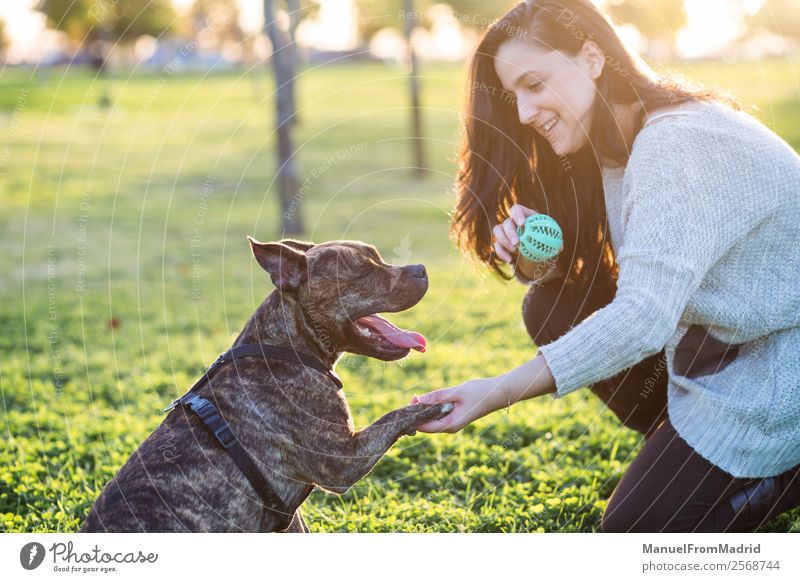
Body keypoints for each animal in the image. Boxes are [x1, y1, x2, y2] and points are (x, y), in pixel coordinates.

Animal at [83, 237, 456, 532]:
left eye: (378, 259)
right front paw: (434, 406)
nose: (421, 268)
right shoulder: (342, 460)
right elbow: (393, 416)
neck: (282, 347)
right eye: (364, 273)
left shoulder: (292, 517)